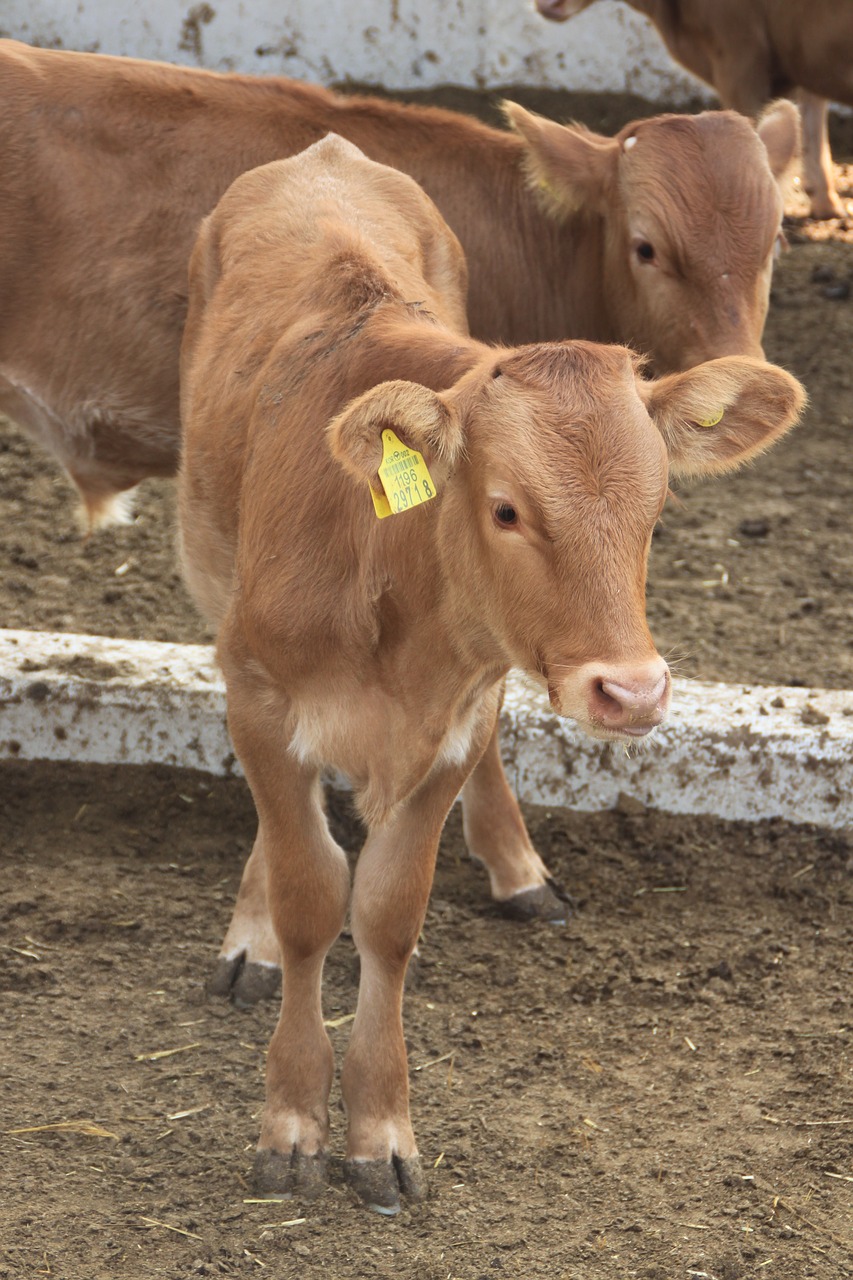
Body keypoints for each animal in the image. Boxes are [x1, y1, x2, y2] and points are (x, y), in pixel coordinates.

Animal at [175, 135, 799, 1213]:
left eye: (656, 507)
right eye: (506, 507)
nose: (631, 690)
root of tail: (324, 153)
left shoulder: (459, 722)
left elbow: (386, 914)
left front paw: (380, 1130)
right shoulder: (256, 686)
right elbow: (308, 894)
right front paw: (290, 1117)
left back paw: (517, 869)